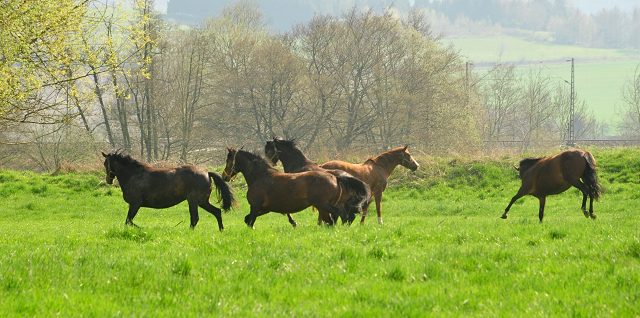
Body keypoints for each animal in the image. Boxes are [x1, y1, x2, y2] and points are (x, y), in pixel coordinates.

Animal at [102, 150, 235, 230]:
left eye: (105, 163)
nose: (108, 180)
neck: (133, 174)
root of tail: (207, 173)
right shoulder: (134, 204)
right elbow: (128, 221)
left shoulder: (135, 203)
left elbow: (128, 221)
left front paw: (141, 228)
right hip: (203, 202)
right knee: (217, 212)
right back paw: (221, 230)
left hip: (193, 201)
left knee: (195, 218)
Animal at [220, 148, 370, 227]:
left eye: (228, 160)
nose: (224, 176)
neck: (260, 176)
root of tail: (335, 177)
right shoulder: (265, 208)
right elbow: (247, 219)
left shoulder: (256, 206)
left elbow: (250, 221)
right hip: (327, 205)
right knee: (341, 216)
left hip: (322, 204)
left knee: (336, 215)